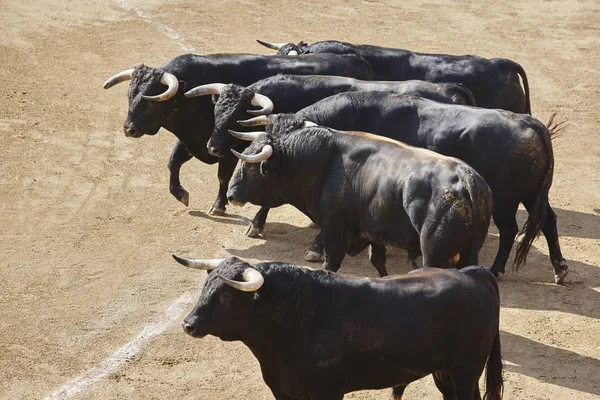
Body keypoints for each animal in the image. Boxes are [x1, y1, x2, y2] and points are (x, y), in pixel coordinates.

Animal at [103, 53, 372, 216]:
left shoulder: (229, 150)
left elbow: (223, 177)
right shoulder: (197, 141)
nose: (128, 129)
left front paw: (218, 206)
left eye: (150, 100)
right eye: (130, 94)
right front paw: (181, 194)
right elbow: (173, 162)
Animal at [176, 256, 504, 400]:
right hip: (444, 372)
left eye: (227, 296)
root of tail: (473, 273)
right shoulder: (283, 391)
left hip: (466, 372)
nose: (189, 324)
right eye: (205, 285)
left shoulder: (328, 392)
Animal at [225, 120, 492, 276]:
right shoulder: (375, 233)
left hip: (436, 253)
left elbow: (331, 264)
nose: (230, 195)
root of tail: (465, 175)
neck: (323, 162)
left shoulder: (333, 231)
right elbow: (378, 262)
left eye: (251, 168)